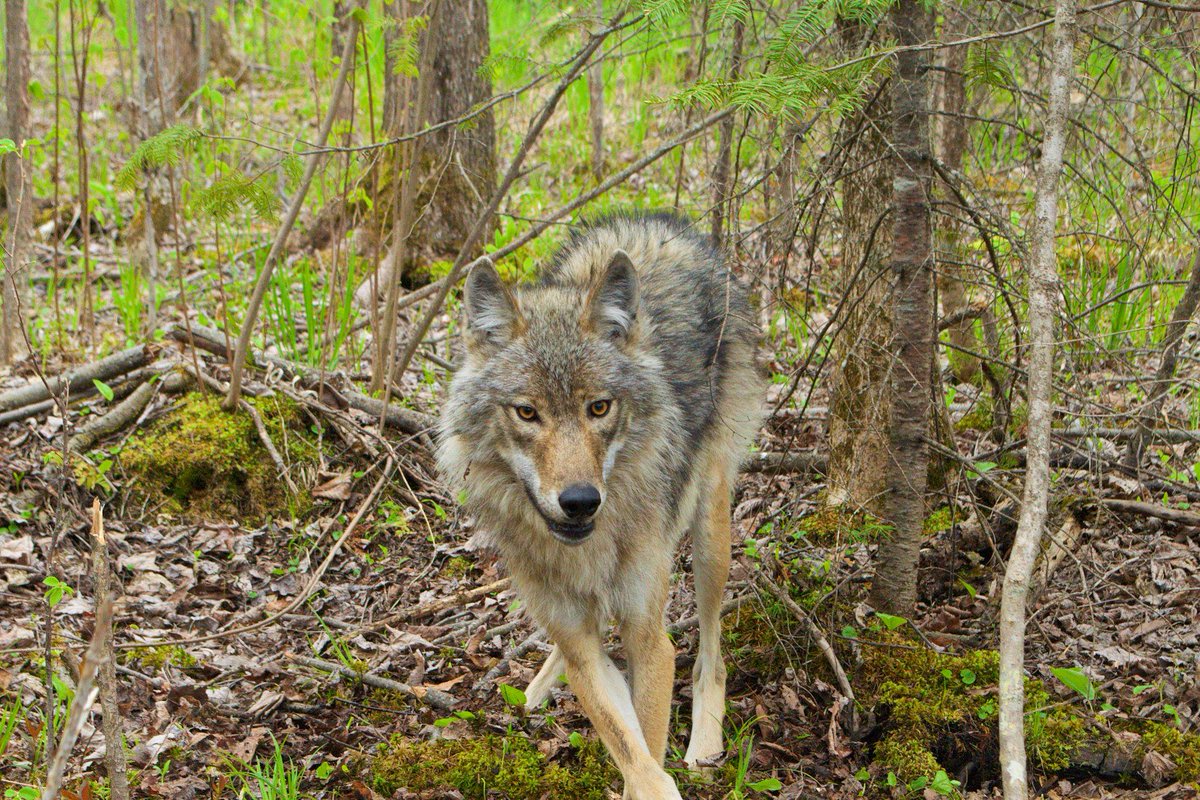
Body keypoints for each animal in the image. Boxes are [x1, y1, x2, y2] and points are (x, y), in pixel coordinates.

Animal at [438, 213, 761, 799]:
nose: (581, 502)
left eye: (599, 408)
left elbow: (646, 752)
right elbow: (627, 743)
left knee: (712, 654)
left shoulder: (651, 641)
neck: (589, 550)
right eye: (527, 413)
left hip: (711, 533)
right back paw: (538, 686)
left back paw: (705, 742)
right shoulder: (583, 646)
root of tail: (653, 224)